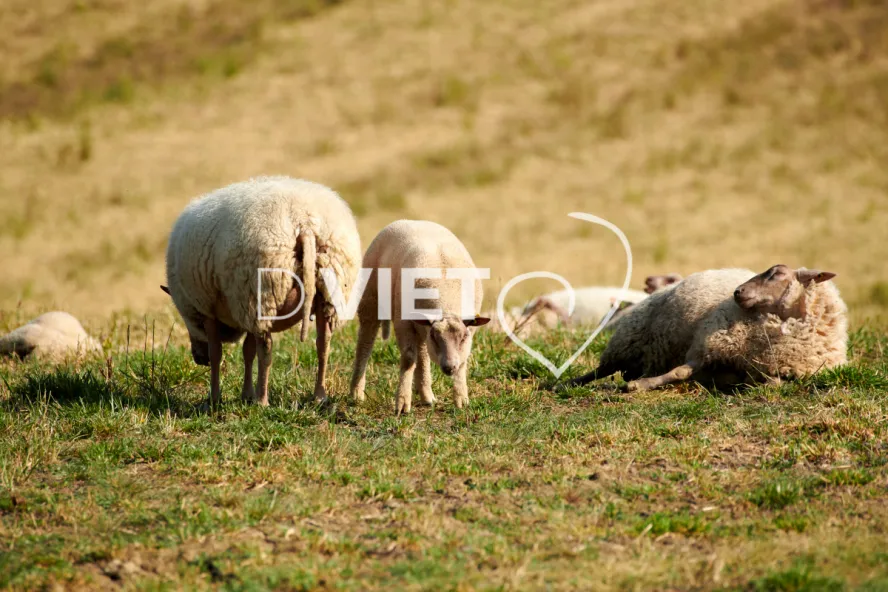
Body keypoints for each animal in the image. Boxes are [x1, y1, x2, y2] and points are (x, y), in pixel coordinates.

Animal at [162, 176, 362, 409]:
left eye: (191, 323)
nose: (198, 359)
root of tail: (304, 222)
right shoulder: (244, 308)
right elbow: (247, 350)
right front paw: (245, 394)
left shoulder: (209, 308)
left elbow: (218, 352)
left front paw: (214, 398)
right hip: (326, 290)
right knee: (323, 343)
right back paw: (319, 396)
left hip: (261, 292)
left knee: (267, 349)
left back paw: (262, 400)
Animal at [349, 220, 490, 414]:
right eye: (436, 338)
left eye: (463, 338)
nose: (449, 367)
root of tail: (408, 220)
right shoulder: (403, 322)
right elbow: (408, 358)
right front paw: (402, 402)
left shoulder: (468, 329)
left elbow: (463, 360)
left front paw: (462, 399)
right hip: (370, 299)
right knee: (365, 343)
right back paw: (356, 393)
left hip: (421, 324)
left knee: (422, 353)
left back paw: (426, 395)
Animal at [563, 265, 847, 391]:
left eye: (776, 274)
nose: (738, 291)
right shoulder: (706, 344)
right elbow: (679, 372)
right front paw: (641, 386)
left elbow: (773, 383)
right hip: (625, 342)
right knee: (600, 370)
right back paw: (566, 384)